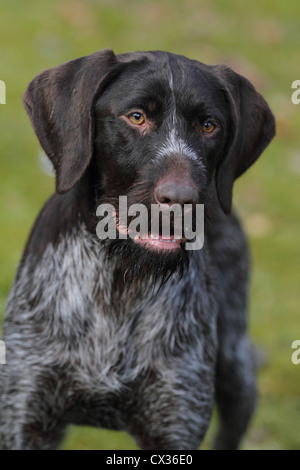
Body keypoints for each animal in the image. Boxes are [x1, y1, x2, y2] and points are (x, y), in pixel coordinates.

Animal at [0, 49, 276, 450]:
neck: (119, 282)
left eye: (209, 126)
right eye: (136, 117)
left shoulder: (176, 422)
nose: (182, 199)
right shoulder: (26, 415)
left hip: (235, 366)